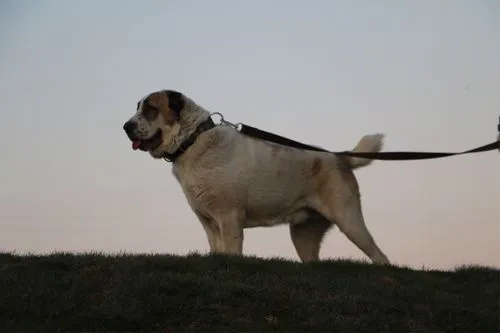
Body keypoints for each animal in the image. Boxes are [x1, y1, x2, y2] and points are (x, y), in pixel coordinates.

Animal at [122, 89, 390, 264]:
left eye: (150, 109)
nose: (125, 127)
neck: (192, 140)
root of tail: (340, 157)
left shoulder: (229, 217)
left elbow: (232, 250)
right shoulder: (208, 221)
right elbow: (216, 248)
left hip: (349, 220)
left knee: (381, 256)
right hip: (303, 234)